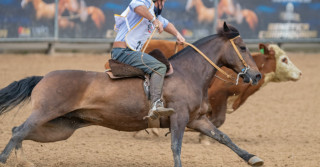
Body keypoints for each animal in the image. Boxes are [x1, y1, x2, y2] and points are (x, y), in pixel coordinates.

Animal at [0, 22, 262, 166]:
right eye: (243, 47)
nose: (257, 75)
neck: (188, 73)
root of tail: (43, 77)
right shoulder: (179, 118)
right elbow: (176, 147)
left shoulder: (196, 119)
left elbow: (223, 137)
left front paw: (252, 158)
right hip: (45, 114)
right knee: (19, 131)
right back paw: (5, 160)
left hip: (61, 127)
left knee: (17, 131)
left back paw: (23, 161)